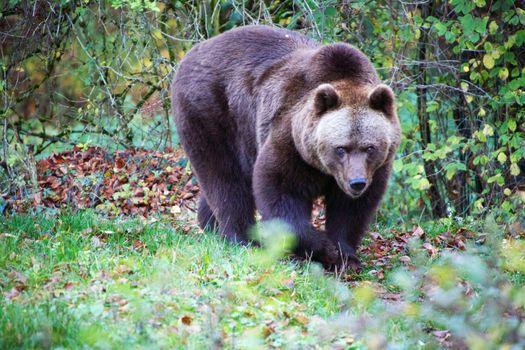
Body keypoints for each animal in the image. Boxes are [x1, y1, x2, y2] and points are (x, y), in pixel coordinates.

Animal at [170, 25, 400, 268]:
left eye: (369, 148)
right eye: (341, 148)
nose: (357, 182)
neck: (323, 168)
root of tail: (193, 51)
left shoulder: (375, 168)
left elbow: (351, 209)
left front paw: (345, 255)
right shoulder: (292, 139)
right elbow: (279, 188)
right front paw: (323, 248)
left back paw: (211, 226)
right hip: (212, 111)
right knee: (225, 178)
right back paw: (242, 239)